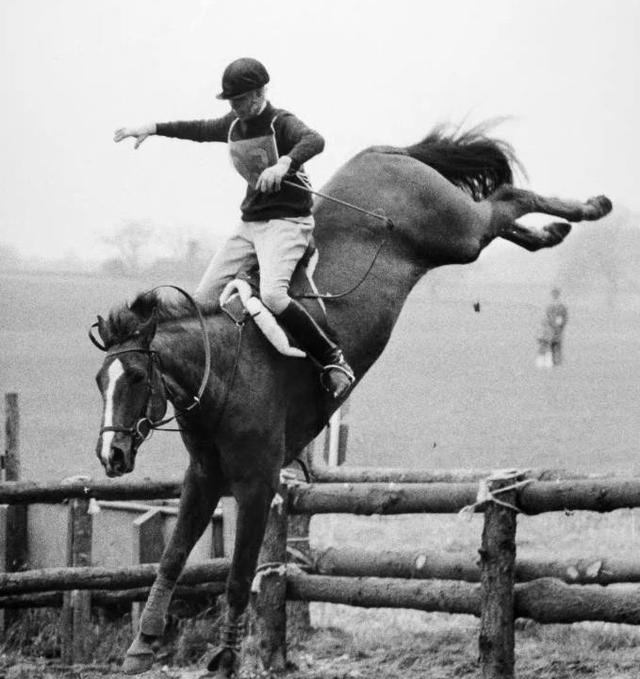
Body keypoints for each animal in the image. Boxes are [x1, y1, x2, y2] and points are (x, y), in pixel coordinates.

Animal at [94, 125, 608, 676]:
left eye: (137, 377)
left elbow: (238, 575)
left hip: (457, 232)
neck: (222, 374)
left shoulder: (256, 485)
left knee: (505, 200)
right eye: (101, 381)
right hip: (459, 236)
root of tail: (384, 154)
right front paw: (142, 643)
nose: (111, 455)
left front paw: (226, 654)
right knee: (503, 211)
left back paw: (591, 207)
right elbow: (171, 558)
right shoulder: (203, 479)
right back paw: (551, 233)